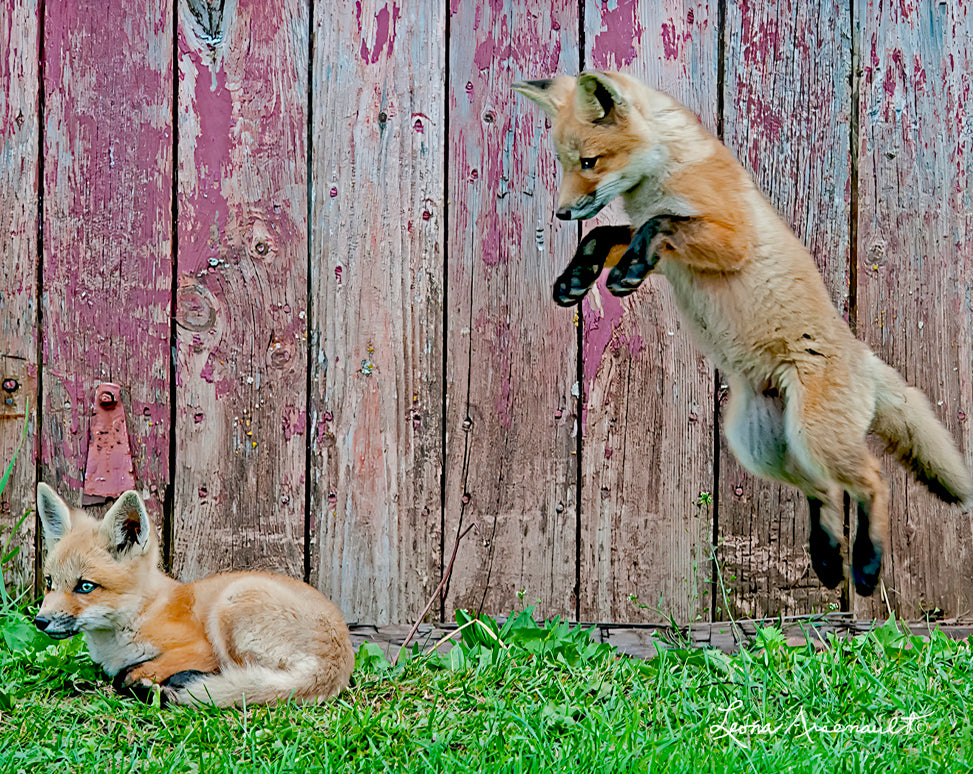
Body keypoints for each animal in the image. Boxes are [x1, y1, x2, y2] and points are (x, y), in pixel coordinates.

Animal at [34, 483, 354, 706]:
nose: (40, 621)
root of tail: (340, 656)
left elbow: (132, 674)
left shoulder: (202, 647)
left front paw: (144, 680)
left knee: (244, 675)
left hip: (230, 605)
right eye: (49, 582)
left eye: (85, 586)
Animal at [512, 71, 973, 597]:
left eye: (589, 161)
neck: (666, 171)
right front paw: (578, 276)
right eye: (566, 163)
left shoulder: (728, 240)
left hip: (815, 436)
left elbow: (658, 224)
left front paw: (621, 271)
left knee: (873, 481)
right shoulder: (670, 262)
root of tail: (861, 353)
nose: (562, 213)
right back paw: (827, 558)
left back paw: (866, 565)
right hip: (762, 447)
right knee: (824, 489)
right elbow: (605, 235)